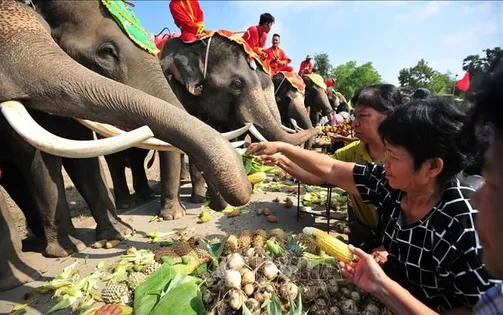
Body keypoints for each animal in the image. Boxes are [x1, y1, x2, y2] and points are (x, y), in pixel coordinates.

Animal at [0, 0, 252, 292]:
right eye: (106, 52)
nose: (219, 205)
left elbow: (81, 152)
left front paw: (117, 235)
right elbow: (38, 155)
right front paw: (58, 257)